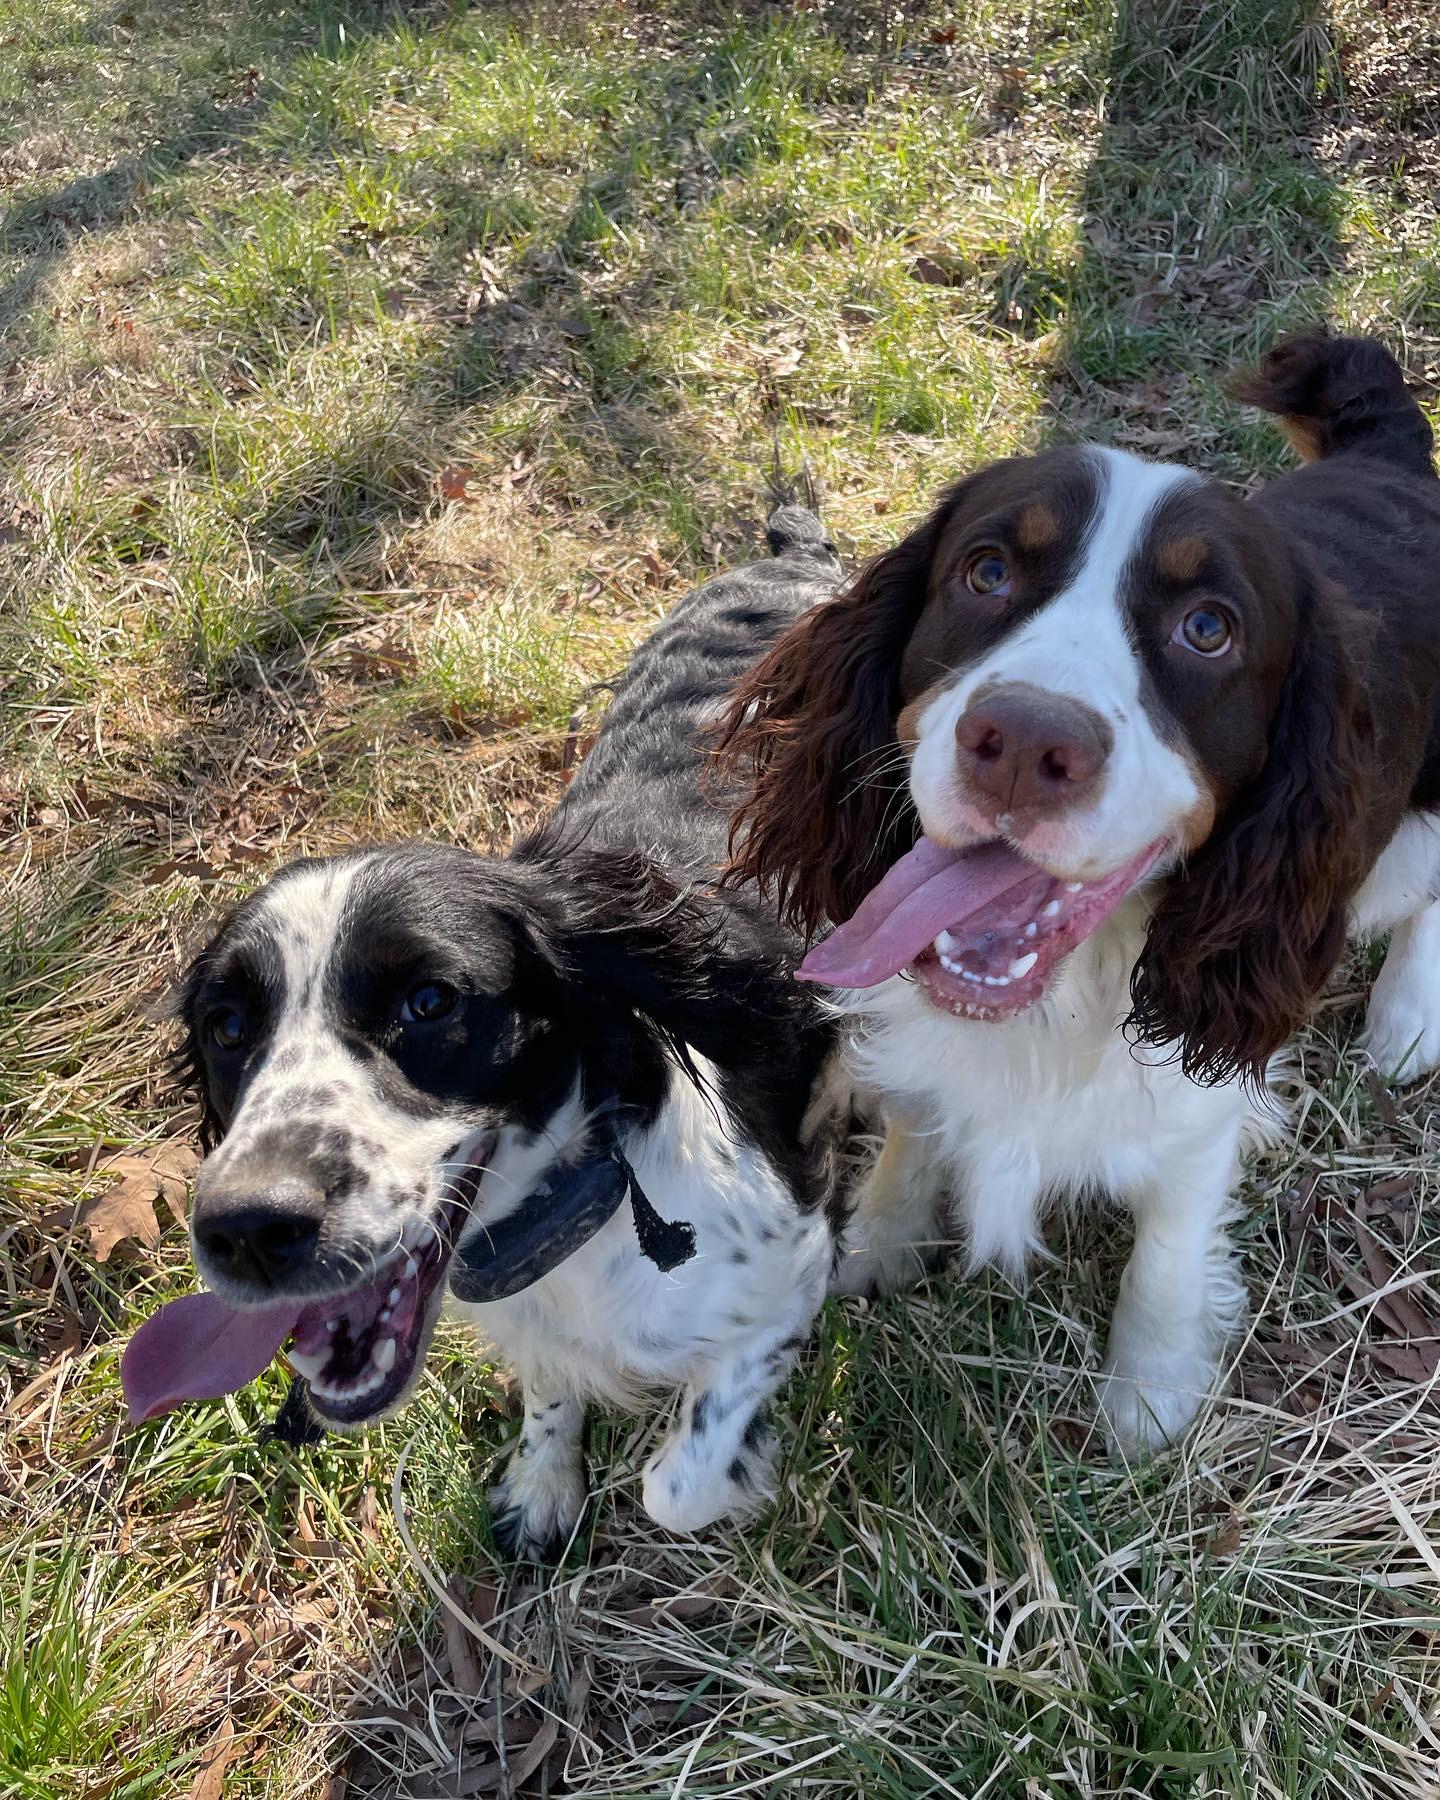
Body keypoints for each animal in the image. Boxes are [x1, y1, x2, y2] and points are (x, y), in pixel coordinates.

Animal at [122, 504, 905, 1557]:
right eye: (228, 1025)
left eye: (430, 1002)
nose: (245, 1230)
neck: (595, 1201)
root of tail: (796, 555)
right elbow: (550, 1388)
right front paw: (542, 1481)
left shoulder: (783, 1278)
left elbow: (680, 1482)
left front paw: (735, 1475)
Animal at [719, 335, 1440, 1454]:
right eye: (987, 571)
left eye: (1207, 629)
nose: (1022, 743)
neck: (1062, 999)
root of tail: (1393, 465)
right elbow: (916, 1124)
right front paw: (879, 1243)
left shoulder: (1198, 1095)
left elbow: (1171, 1241)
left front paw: (1149, 1393)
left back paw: (1406, 1022)